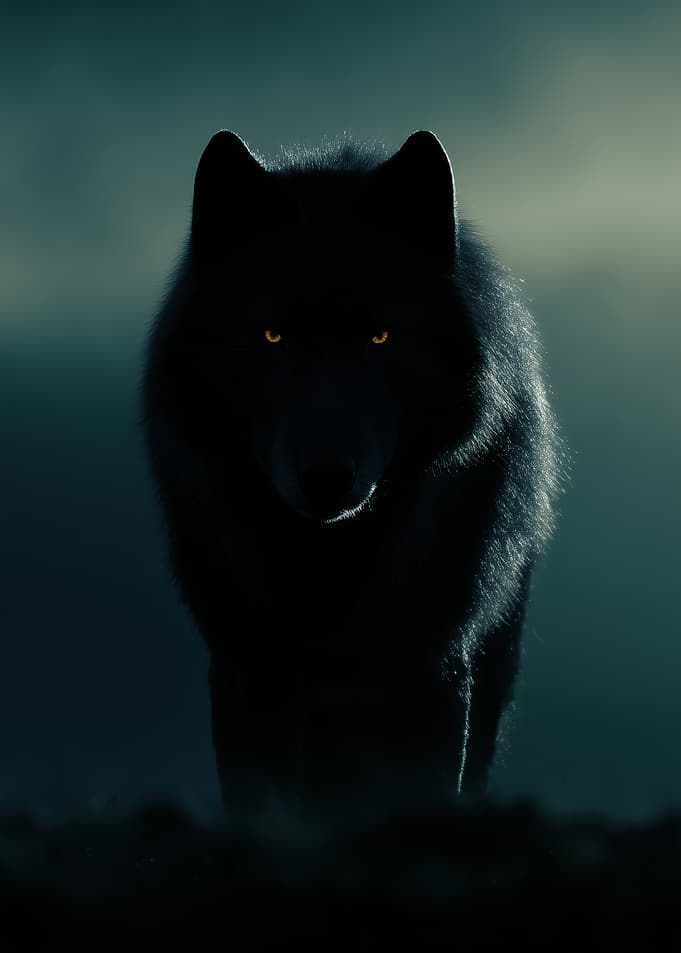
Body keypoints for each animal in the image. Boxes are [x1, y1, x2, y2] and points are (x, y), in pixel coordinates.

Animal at [141, 129, 563, 824]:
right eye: (273, 335)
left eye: (380, 336)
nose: (326, 477)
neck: (330, 566)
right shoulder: (244, 674)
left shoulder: (433, 675)